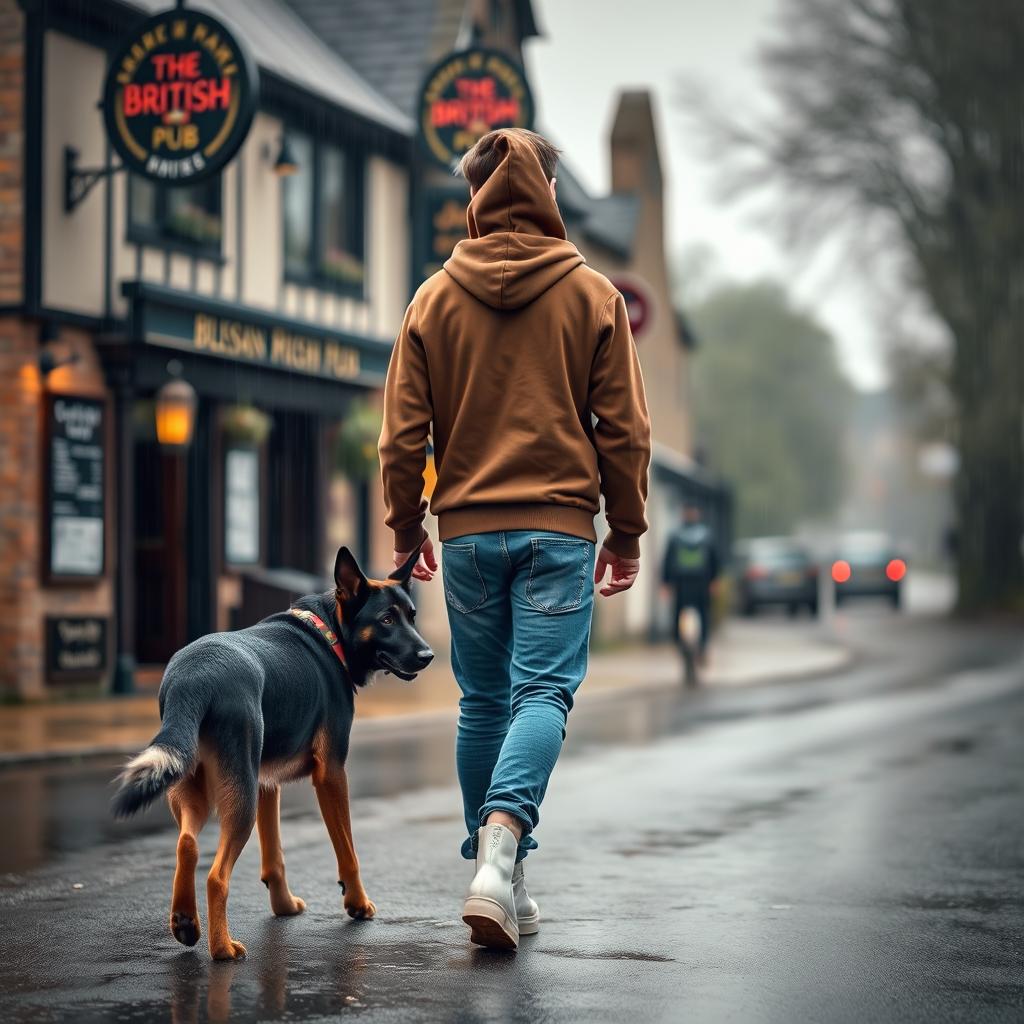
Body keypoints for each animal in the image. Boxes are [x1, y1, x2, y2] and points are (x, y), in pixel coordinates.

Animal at [112, 544, 432, 958]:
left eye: (412, 616)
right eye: (387, 619)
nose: (428, 655)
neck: (328, 631)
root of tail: (192, 679)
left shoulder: (266, 782)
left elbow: (274, 855)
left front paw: (283, 906)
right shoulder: (331, 774)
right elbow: (347, 850)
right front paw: (357, 904)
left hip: (197, 785)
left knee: (187, 845)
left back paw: (186, 921)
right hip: (241, 796)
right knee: (216, 877)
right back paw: (222, 948)